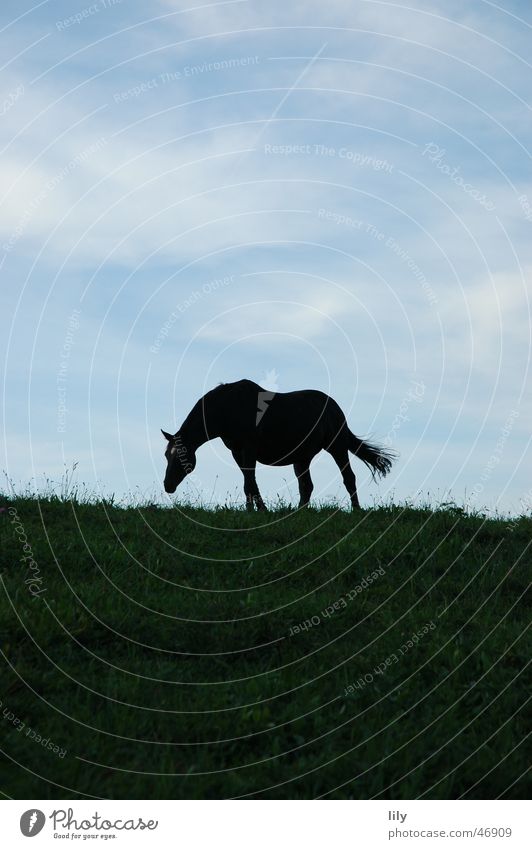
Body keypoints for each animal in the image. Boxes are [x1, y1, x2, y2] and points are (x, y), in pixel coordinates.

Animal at [161, 380, 394, 510]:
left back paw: (356, 510)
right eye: (166, 455)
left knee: (349, 478)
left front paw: (258, 511)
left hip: (337, 447)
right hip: (302, 458)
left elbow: (250, 482)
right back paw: (300, 512)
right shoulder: (237, 452)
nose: (167, 485)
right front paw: (253, 509)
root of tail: (336, 409)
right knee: (306, 486)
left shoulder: (248, 449)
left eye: (181, 456)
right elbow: (249, 482)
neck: (227, 408)